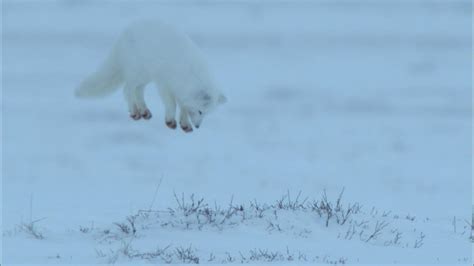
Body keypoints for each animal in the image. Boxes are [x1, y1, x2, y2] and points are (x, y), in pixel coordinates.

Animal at [75, 19, 227, 132]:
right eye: (201, 111)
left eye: (207, 113)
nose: (198, 126)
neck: (190, 72)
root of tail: (124, 33)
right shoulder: (164, 84)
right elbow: (172, 104)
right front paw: (170, 121)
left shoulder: (181, 89)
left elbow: (184, 107)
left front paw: (185, 125)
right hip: (138, 72)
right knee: (127, 89)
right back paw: (135, 112)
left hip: (145, 76)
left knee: (138, 90)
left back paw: (144, 111)